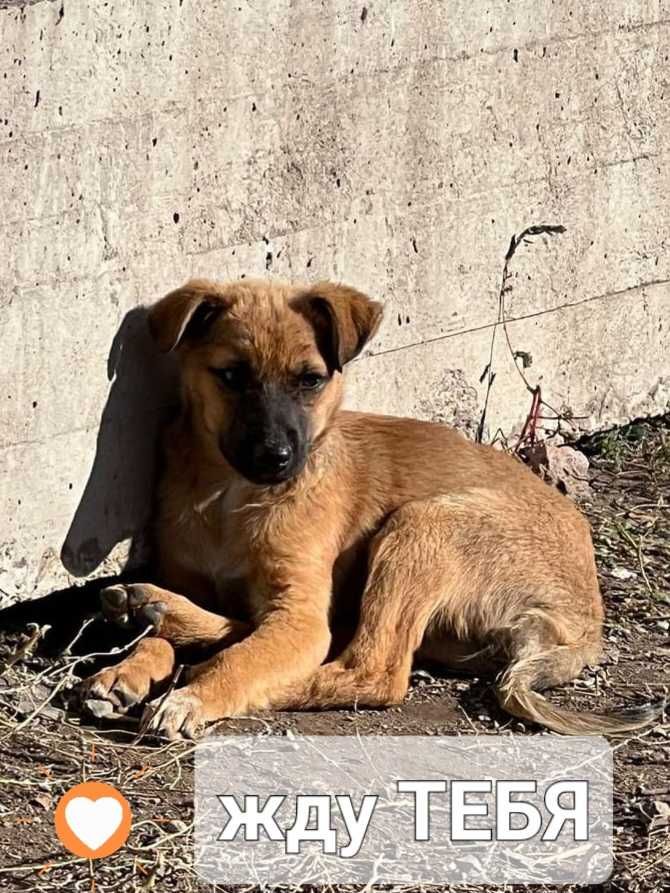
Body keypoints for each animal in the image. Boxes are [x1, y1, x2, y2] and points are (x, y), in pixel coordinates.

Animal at [81, 278, 664, 740]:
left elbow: (245, 659)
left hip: (420, 525)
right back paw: (151, 607)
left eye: (310, 380)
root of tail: (584, 622)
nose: (277, 458)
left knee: (372, 670)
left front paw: (195, 694)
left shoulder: (299, 613)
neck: (231, 498)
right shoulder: (197, 574)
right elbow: (164, 642)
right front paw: (128, 668)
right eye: (231, 376)